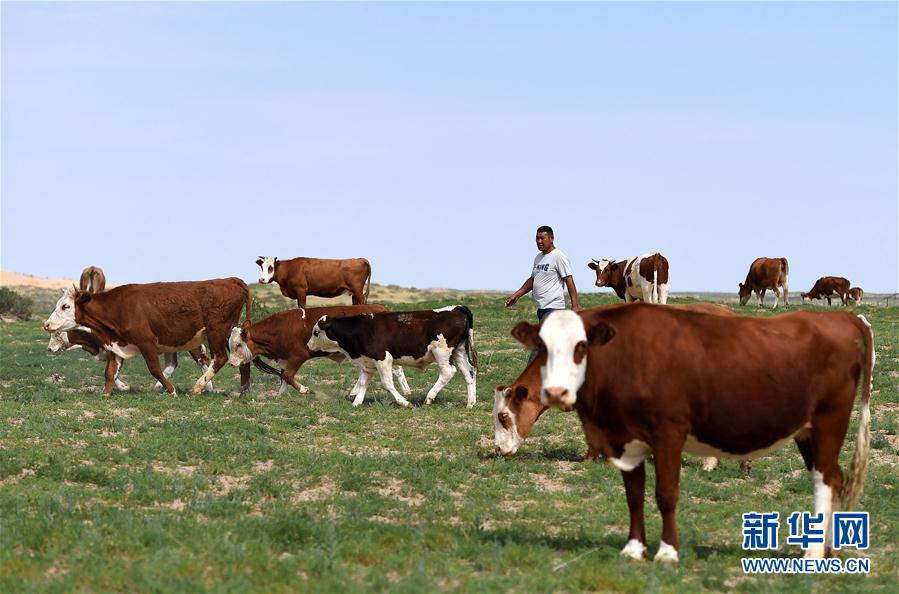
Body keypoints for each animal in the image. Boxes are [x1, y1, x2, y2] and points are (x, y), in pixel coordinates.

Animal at [47, 328, 213, 394]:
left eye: (57, 334)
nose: (49, 349)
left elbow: (109, 372)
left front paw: (123, 387)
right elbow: (112, 373)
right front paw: (124, 387)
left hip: (193, 345)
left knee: (203, 361)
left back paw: (208, 387)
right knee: (172, 364)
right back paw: (159, 386)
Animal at [225, 302, 412, 396]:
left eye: (238, 345)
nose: (231, 363)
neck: (279, 329)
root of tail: (381, 308)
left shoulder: (298, 355)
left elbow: (287, 375)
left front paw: (305, 390)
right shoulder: (284, 359)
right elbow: (284, 377)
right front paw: (280, 394)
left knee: (396, 368)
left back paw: (406, 391)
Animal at [308, 306, 478, 408]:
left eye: (315, 332)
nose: (308, 345)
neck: (362, 329)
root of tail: (457, 308)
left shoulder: (383, 359)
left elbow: (387, 383)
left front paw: (404, 402)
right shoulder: (368, 363)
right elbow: (363, 382)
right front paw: (357, 402)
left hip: (442, 352)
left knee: (448, 372)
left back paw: (429, 398)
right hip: (459, 351)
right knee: (469, 372)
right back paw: (470, 403)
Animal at [512, 306, 872, 560]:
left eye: (582, 346)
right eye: (542, 347)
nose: (556, 392)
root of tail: (840, 316)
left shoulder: (669, 431)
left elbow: (666, 494)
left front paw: (668, 551)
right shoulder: (627, 439)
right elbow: (633, 495)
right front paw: (633, 548)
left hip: (829, 420)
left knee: (825, 480)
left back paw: (814, 553)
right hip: (807, 430)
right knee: (832, 478)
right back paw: (828, 548)